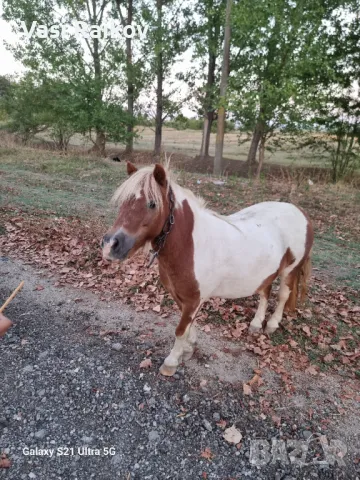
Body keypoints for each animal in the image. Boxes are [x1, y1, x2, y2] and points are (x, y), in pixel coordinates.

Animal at [101, 163, 312, 376]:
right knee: (265, 292)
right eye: (123, 201)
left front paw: (171, 362)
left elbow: (180, 330)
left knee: (283, 296)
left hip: (289, 271)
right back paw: (255, 324)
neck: (192, 245)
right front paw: (188, 349)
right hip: (266, 274)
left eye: (152, 204)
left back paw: (271, 324)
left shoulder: (194, 300)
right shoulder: (182, 297)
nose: (110, 245)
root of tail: (300, 212)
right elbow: (188, 326)